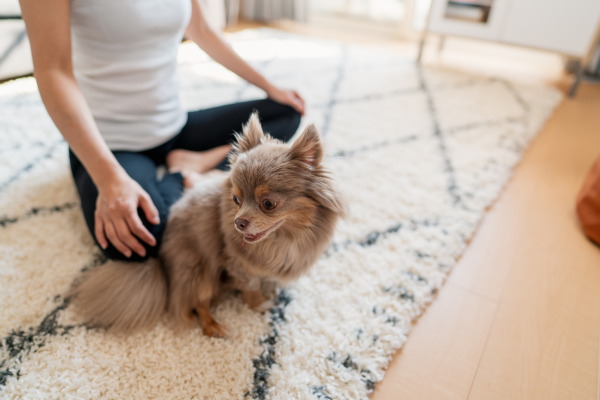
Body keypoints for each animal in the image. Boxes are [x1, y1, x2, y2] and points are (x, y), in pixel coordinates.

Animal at [68, 113, 344, 338]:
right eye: (236, 199)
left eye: (268, 204)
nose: (239, 222)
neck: (283, 239)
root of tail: (161, 261)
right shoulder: (239, 267)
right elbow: (252, 287)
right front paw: (260, 303)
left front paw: (274, 289)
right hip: (201, 270)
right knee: (196, 305)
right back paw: (214, 327)